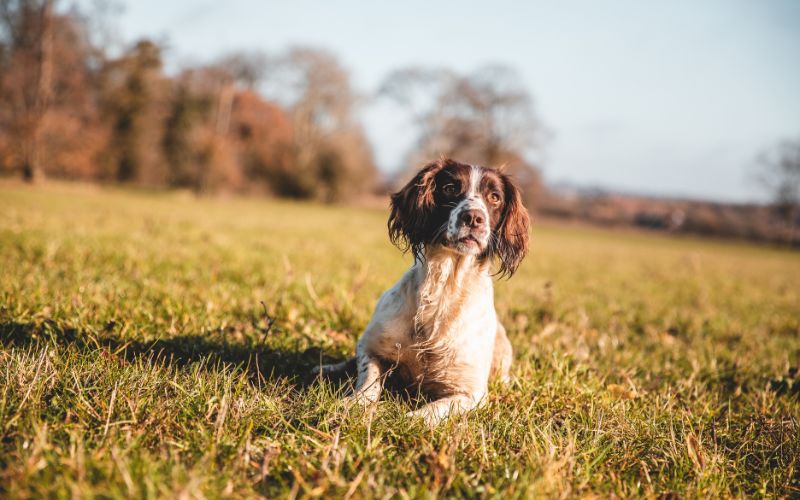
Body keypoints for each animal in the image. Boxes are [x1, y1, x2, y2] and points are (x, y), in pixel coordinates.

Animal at [314, 158, 532, 424]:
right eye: (449, 188)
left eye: (494, 197)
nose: (473, 217)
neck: (444, 286)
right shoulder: (371, 347)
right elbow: (368, 380)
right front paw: (353, 403)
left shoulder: (471, 393)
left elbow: (431, 411)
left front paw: (408, 419)